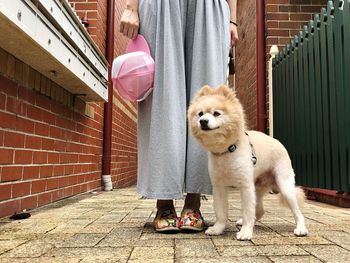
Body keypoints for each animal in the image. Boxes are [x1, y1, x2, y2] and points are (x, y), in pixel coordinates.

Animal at [187, 84, 308, 241]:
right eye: (200, 114)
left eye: (216, 114)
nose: (203, 121)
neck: (227, 151)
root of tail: (278, 142)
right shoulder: (219, 187)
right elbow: (221, 212)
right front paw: (218, 229)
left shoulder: (245, 186)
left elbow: (247, 211)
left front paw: (245, 232)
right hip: (259, 188)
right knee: (260, 210)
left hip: (285, 186)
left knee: (297, 211)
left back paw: (301, 229)